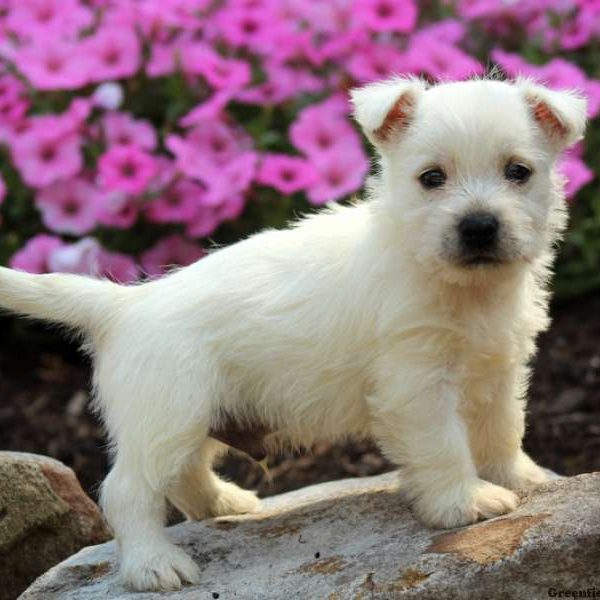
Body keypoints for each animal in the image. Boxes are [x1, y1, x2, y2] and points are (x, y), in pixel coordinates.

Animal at [0, 76, 584, 592]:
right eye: (431, 178)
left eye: (518, 171)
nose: (479, 226)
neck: (457, 285)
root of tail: (125, 303)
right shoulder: (417, 384)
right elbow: (444, 446)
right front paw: (464, 501)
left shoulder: (499, 368)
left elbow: (502, 430)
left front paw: (524, 477)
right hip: (166, 414)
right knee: (128, 490)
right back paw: (154, 565)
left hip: (193, 417)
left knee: (186, 474)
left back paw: (224, 504)